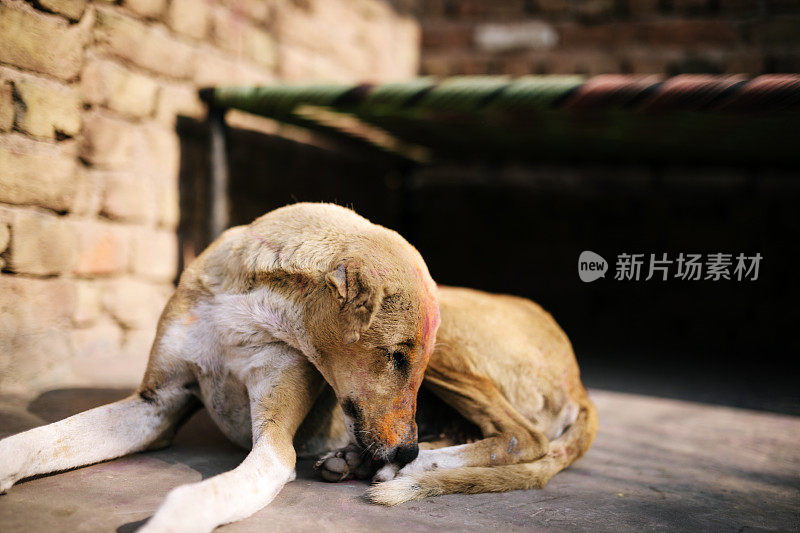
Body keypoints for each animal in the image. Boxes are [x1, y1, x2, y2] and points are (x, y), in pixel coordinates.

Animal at [0, 203, 596, 528]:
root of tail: (580, 378)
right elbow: (38, 439)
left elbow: (204, 495)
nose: (406, 448)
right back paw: (370, 461)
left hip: (454, 346)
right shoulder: (155, 406)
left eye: (414, 364)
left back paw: (406, 469)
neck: (255, 299)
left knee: (523, 438)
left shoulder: (273, 445)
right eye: (396, 357)